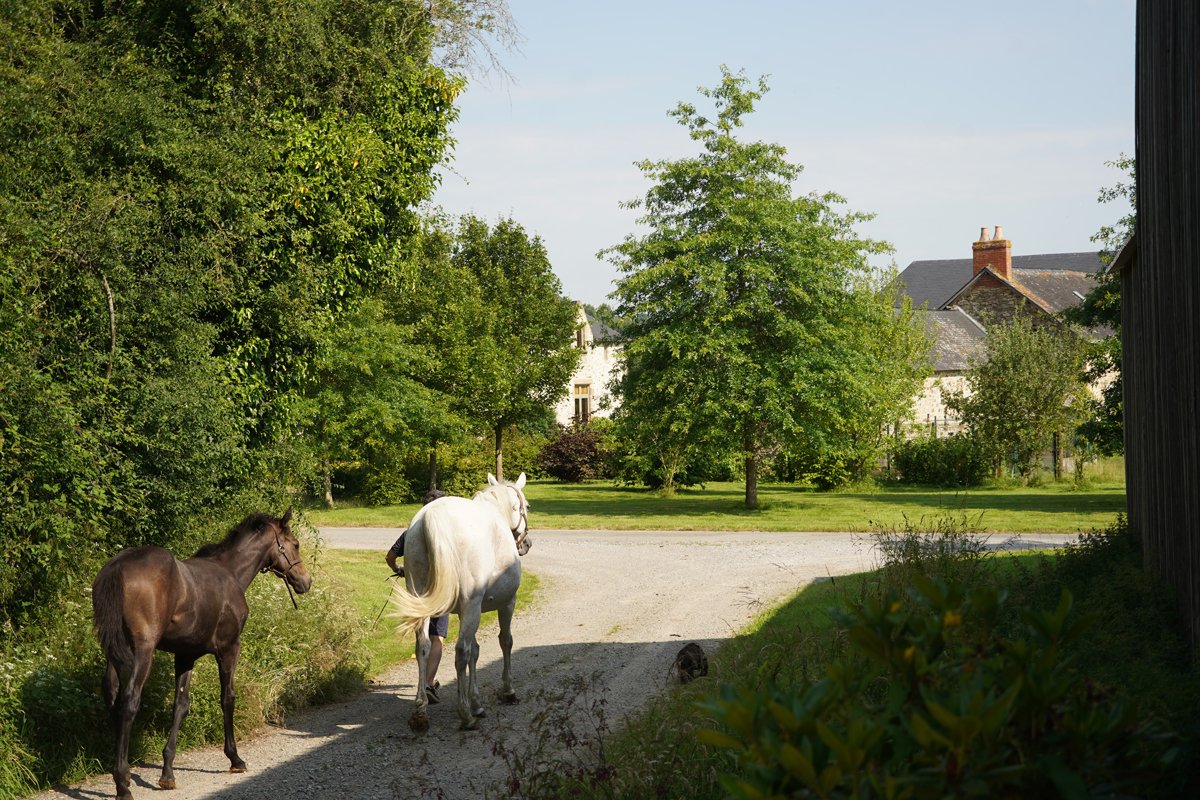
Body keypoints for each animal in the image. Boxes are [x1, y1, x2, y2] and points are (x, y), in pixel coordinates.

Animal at [91, 509, 312, 800]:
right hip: (143, 651)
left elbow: (180, 706)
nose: (306, 581)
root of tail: (118, 566)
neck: (230, 573)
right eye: (295, 544)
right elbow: (227, 698)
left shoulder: (185, 655)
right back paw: (122, 782)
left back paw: (119, 771)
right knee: (129, 700)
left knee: (112, 695)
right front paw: (235, 758)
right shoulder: (229, 648)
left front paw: (167, 772)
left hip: (113, 652)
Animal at [391, 472, 529, 732]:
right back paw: (465, 714)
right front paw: (507, 691)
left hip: (424, 601)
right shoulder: (506, 602)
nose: (527, 544)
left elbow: (475, 651)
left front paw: (477, 703)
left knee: (423, 647)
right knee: (460, 651)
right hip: (473, 605)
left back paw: (420, 711)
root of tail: (431, 517)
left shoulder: (468, 611)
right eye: (527, 506)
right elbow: (504, 641)